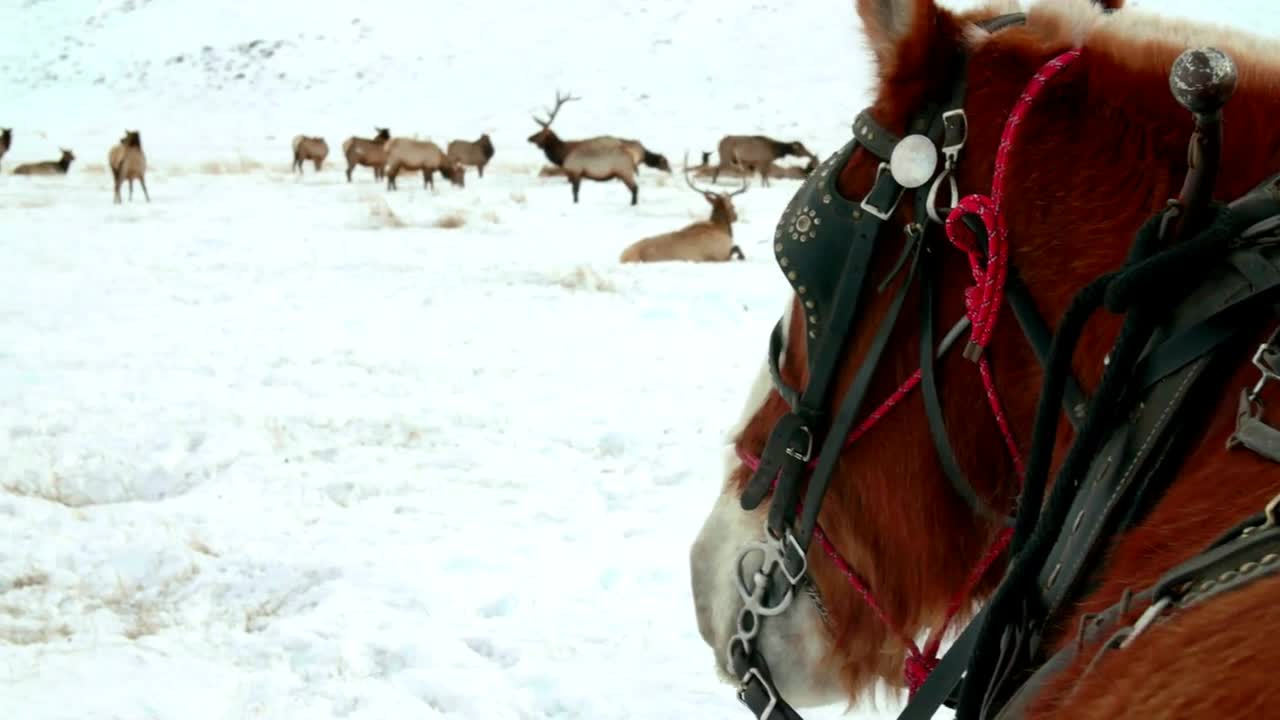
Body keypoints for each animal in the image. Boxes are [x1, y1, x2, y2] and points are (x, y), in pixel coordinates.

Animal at [619, 151, 747, 263]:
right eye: (732, 206)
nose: (736, 217)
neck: (720, 228)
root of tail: (622, 257)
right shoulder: (721, 255)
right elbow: (737, 248)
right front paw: (742, 256)